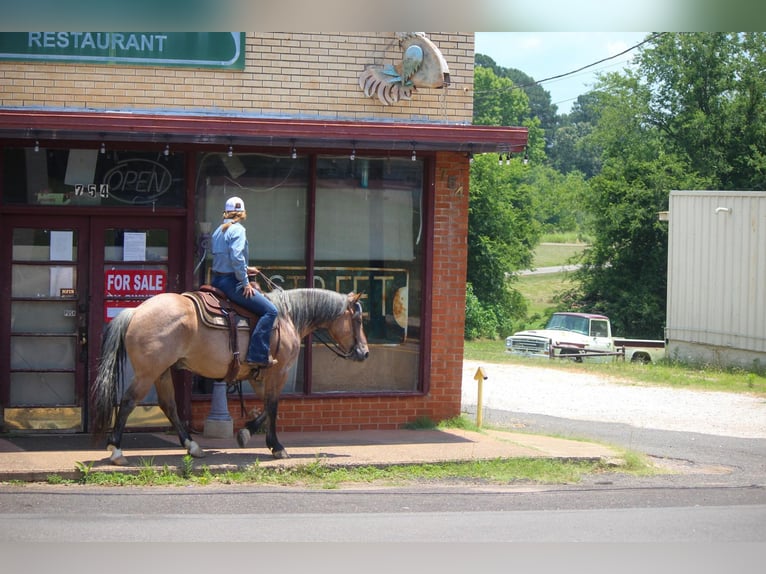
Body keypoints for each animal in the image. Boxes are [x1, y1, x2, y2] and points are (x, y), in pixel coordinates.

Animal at [91, 288, 370, 468]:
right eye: (357, 319)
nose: (365, 352)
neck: (287, 316)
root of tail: (135, 311)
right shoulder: (279, 371)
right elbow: (273, 406)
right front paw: (277, 447)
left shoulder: (259, 375)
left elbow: (265, 407)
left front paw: (246, 433)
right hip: (148, 372)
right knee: (128, 402)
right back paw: (116, 450)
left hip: (162, 371)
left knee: (168, 405)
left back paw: (193, 446)